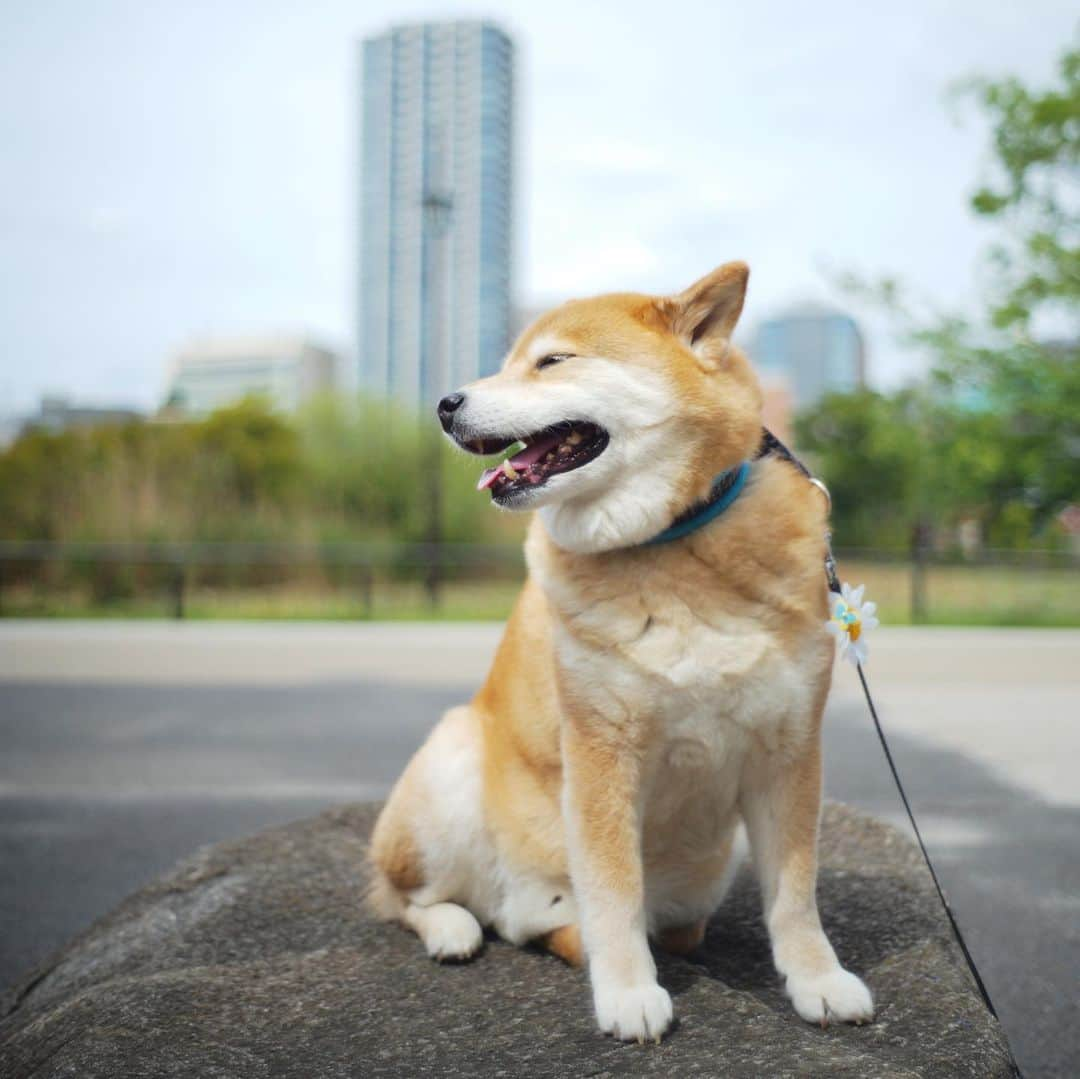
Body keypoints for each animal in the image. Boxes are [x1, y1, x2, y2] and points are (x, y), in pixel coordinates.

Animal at [367, 259, 872, 1036]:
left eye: (551, 361)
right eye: (510, 361)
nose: (445, 404)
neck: (671, 541)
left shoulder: (789, 748)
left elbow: (794, 893)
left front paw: (818, 980)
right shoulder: (601, 750)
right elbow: (613, 889)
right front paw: (629, 993)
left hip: (700, 878)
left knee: (606, 927)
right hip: (449, 764)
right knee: (404, 899)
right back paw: (454, 926)